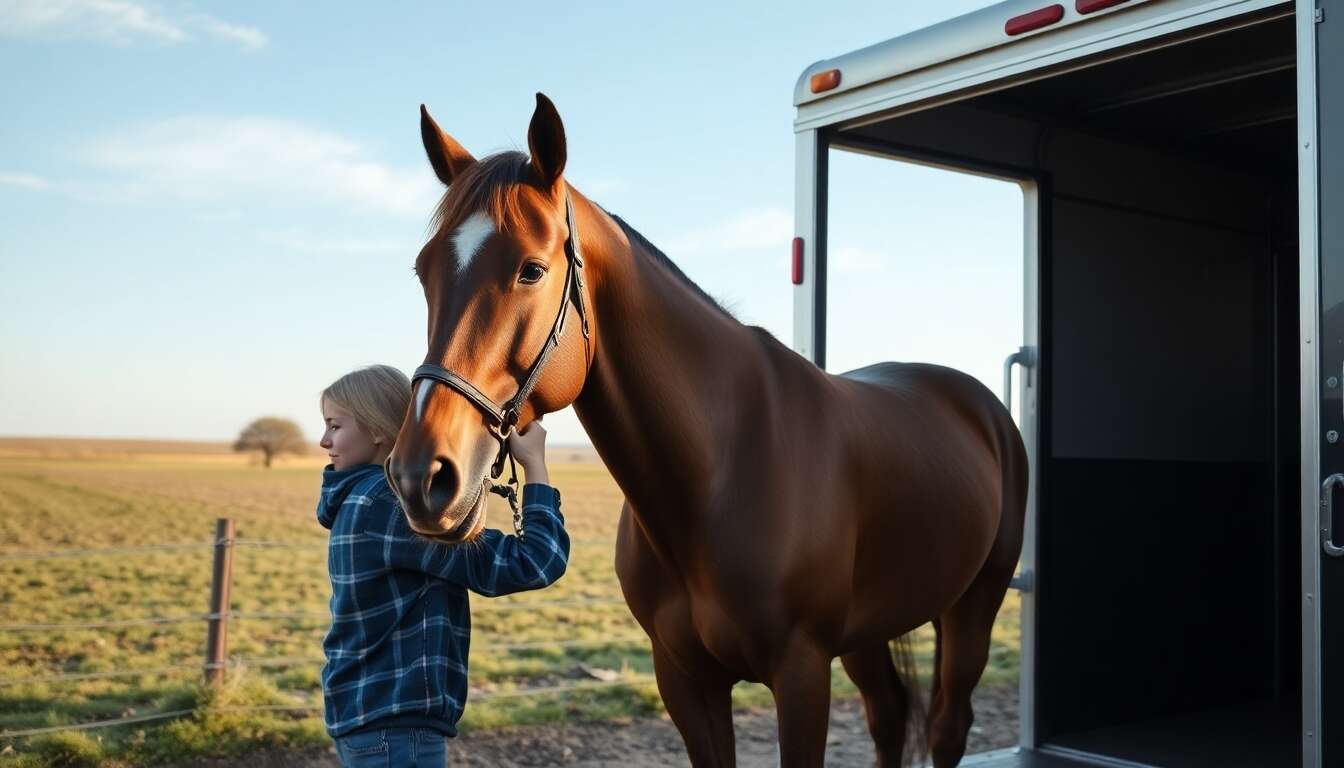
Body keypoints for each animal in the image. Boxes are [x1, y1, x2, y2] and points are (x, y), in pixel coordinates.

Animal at [386, 93, 1028, 768]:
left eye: (531, 270)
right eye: (424, 271)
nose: (420, 476)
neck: (719, 471)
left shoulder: (802, 673)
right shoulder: (685, 680)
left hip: (972, 609)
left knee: (947, 724)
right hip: (869, 631)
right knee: (888, 715)